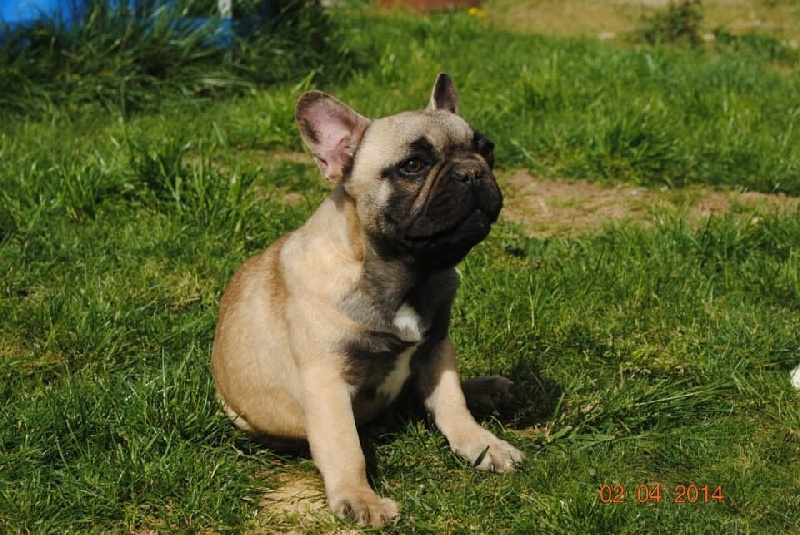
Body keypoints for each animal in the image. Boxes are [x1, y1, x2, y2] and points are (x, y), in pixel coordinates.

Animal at [211, 73, 524, 527]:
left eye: (487, 149)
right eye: (412, 165)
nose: (471, 172)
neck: (407, 274)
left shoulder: (436, 348)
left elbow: (452, 405)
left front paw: (483, 444)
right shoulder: (327, 380)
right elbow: (345, 446)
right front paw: (360, 499)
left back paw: (487, 388)